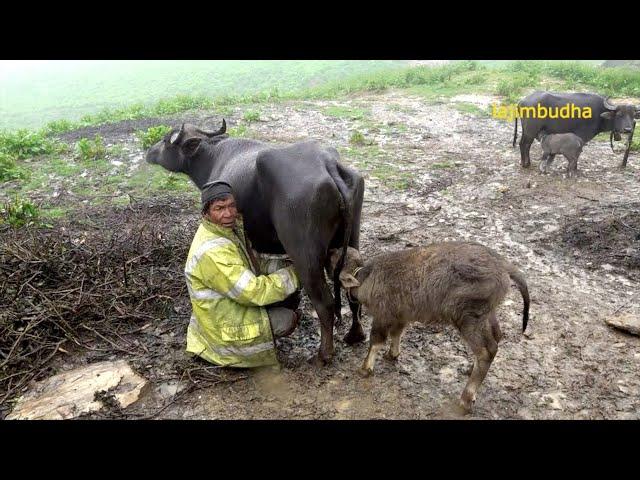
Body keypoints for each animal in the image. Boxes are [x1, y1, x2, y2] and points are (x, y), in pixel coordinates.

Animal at [146, 120, 364, 364]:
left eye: (166, 140)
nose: (149, 152)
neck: (213, 157)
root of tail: (328, 166)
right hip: (352, 238)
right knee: (355, 289)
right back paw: (355, 335)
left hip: (305, 255)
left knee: (325, 303)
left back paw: (323, 355)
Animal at [330, 242, 528, 414]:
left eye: (336, 256)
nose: (331, 249)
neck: (366, 278)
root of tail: (502, 265)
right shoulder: (400, 316)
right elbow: (397, 334)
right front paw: (392, 354)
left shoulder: (382, 316)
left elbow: (376, 342)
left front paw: (365, 368)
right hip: (487, 314)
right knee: (496, 337)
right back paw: (471, 368)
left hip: (469, 317)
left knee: (487, 351)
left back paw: (466, 397)